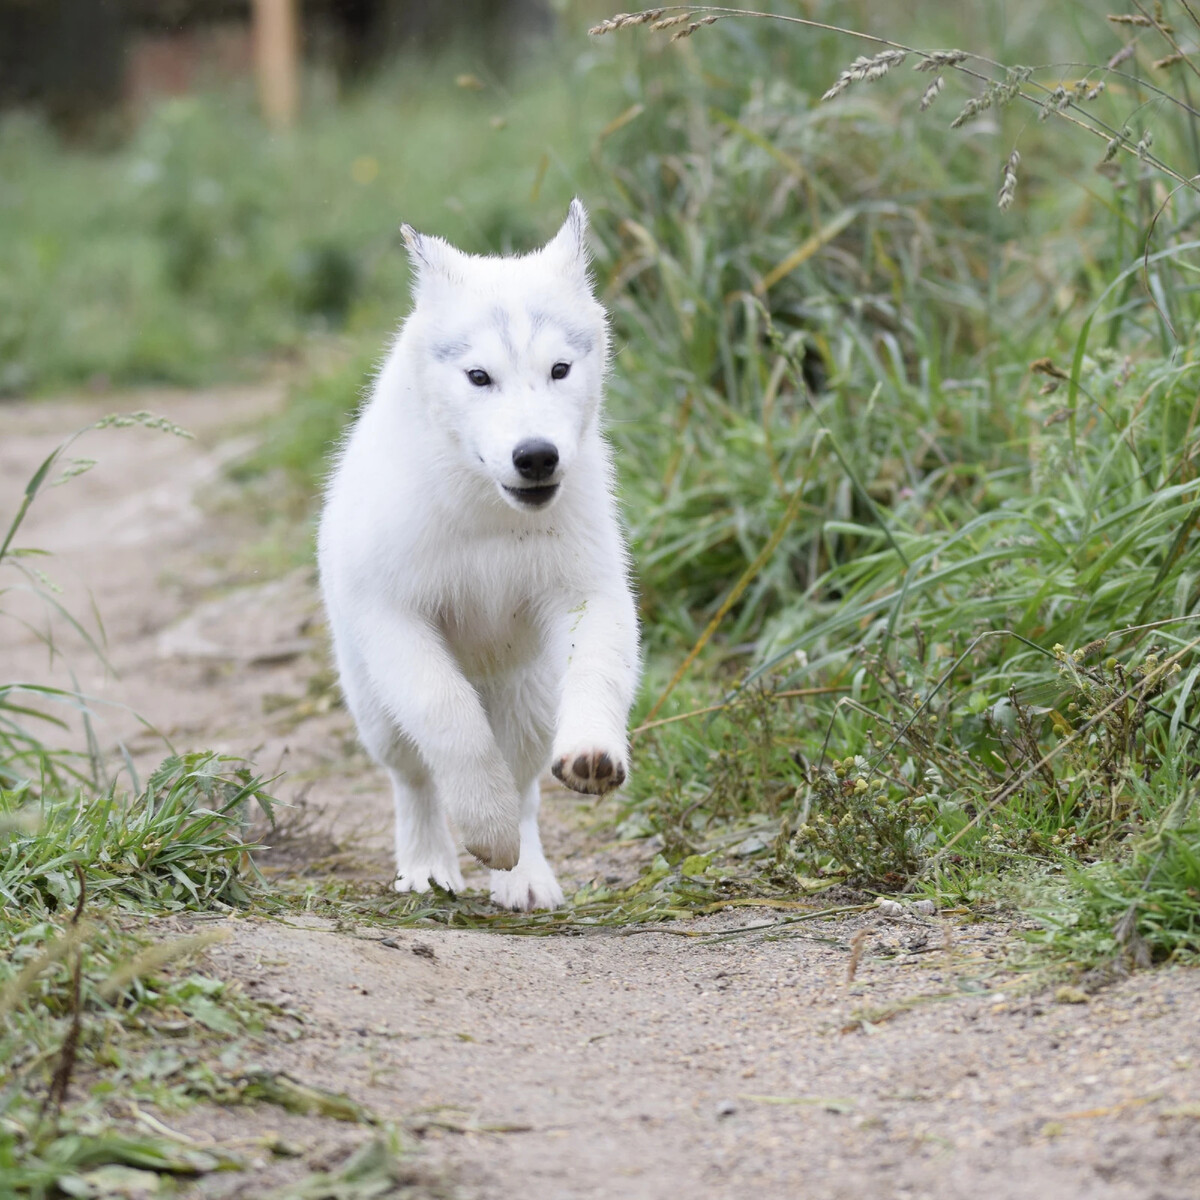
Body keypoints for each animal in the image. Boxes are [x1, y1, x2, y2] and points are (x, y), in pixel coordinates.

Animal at [316, 199, 638, 907]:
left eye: (559, 370)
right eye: (479, 377)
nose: (536, 456)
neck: (491, 519)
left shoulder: (588, 591)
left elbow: (598, 669)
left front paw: (592, 757)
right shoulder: (395, 615)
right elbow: (448, 715)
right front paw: (483, 827)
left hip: (530, 699)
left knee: (524, 783)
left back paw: (525, 878)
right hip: (373, 704)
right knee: (414, 776)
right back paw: (430, 866)